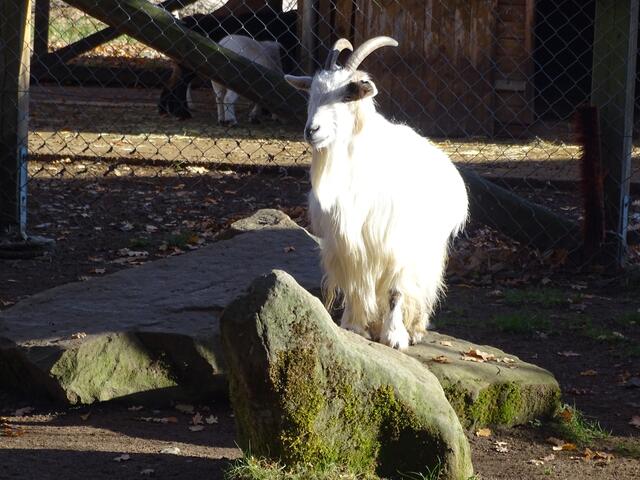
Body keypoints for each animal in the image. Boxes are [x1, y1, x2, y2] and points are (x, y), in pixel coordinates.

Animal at [285, 37, 469, 350]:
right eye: (312, 92)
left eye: (347, 95)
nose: (312, 130)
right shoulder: (346, 241)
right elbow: (354, 284)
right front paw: (353, 325)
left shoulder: (397, 242)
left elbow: (396, 290)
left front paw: (394, 336)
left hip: (428, 248)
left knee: (423, 286)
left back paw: (415, 328)